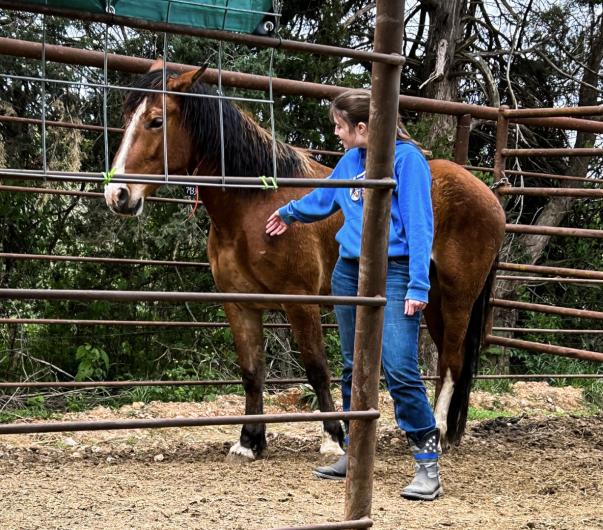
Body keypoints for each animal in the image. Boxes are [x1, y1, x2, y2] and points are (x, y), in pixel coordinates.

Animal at [106, 65, 508, 454]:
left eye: (156, 121)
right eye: (126, 119)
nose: (117, 194)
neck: (252, 206)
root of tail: (489, 196)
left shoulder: (300, 301)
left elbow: (316, 368)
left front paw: (332, 438)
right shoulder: (240, 304)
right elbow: (252, 371)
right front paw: (249, 441)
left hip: (457, 298)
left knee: (452, 361)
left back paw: (436, 431)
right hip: (432, 300)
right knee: (448, 359)